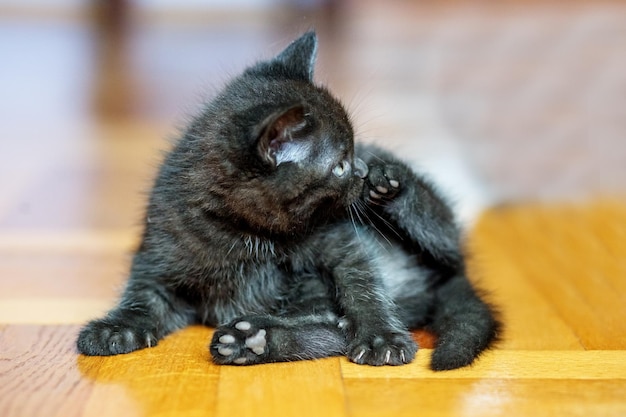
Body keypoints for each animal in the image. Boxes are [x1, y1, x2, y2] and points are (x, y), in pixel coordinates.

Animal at [77, 33, 498, 370]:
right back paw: (251, 341)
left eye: (353, 151)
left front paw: (381, 337)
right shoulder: (159, 256)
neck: (245, 232)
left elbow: (363, 285)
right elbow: (142, 296)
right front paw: (115, 327)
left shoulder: (344, 242)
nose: (362, 168)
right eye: (340, 165)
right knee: (329, 328)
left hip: (434, 243)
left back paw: (391, 185)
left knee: (440, 233)